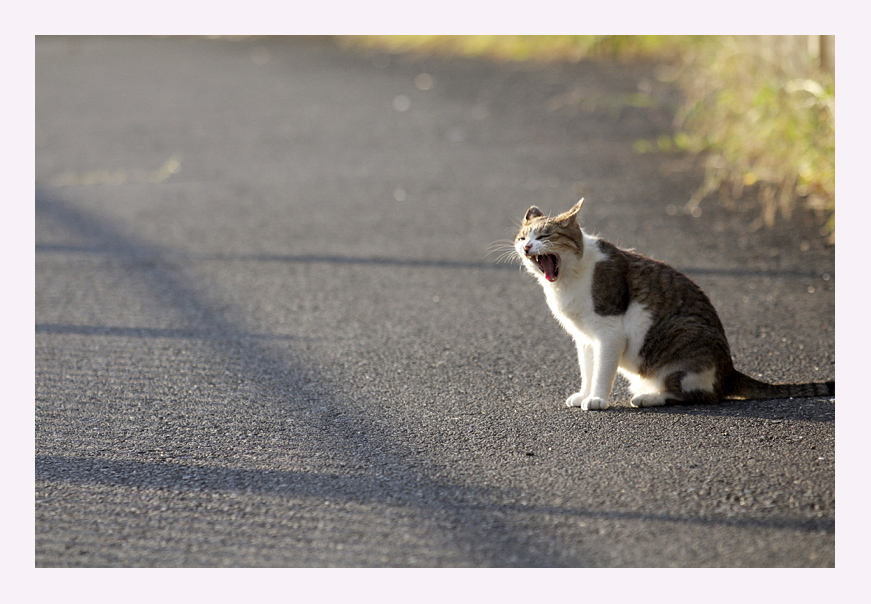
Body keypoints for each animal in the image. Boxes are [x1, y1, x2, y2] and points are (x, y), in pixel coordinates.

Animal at [516, 198, 836, 410]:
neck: (568, 279)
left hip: (684, 332)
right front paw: (584, 394)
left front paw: (596, 399)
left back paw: (648, 397)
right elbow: (588, 368)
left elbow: (603, 370)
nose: (527, 247)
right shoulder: (584, 337)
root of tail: (729, 370)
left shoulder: (609, 333)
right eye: (521, 237)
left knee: (699, 394)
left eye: (545, 235)